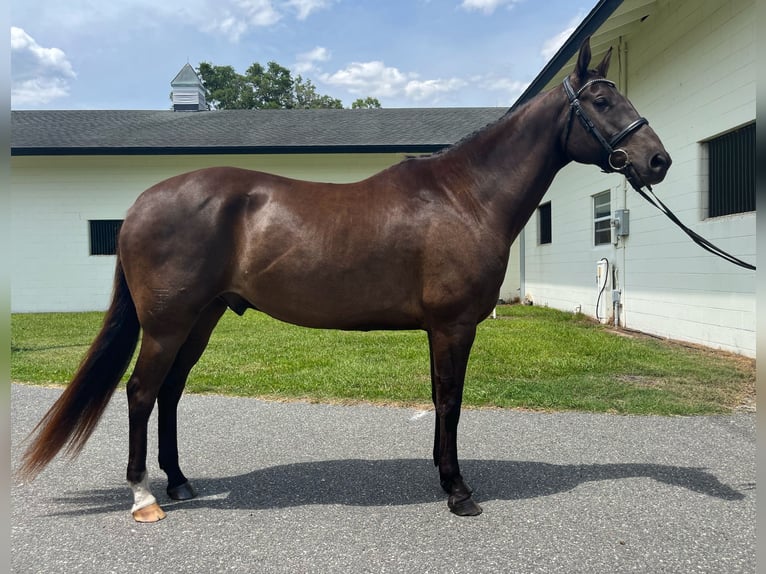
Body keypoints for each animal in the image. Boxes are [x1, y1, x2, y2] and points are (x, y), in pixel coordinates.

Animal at [18, 38, 672, 524]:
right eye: (601, 99)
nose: (657, 160)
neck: (464, 197)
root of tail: (140, 204)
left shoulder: (440, 329)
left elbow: (439, 399)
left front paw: (443, 478)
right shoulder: (453, 326)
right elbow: (451, 400)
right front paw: (459, 493)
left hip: (200, 319)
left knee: (170, 393)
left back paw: (179, 482)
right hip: (167, 323)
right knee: (140, 392)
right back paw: (144, 497)